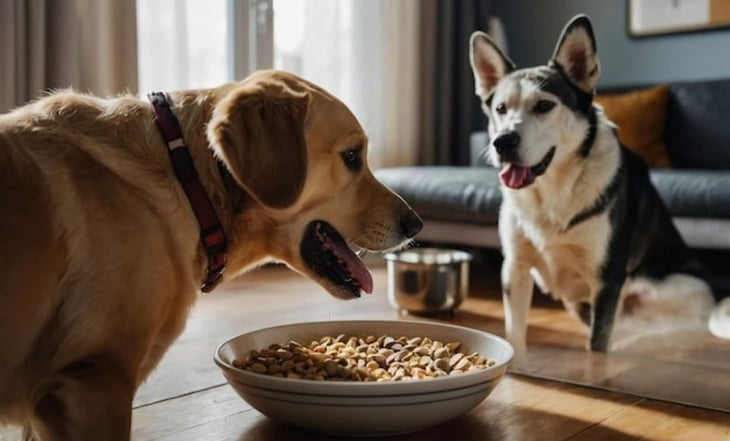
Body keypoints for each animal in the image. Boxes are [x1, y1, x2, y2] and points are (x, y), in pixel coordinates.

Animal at [470, 14, 720, 368]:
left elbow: (597, 345)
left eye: (544, 105)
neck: (552, 190)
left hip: (664, 292)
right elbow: (514, 334)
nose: (501, 142)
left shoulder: (607, 280)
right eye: (501, 108)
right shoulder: (515, 269)